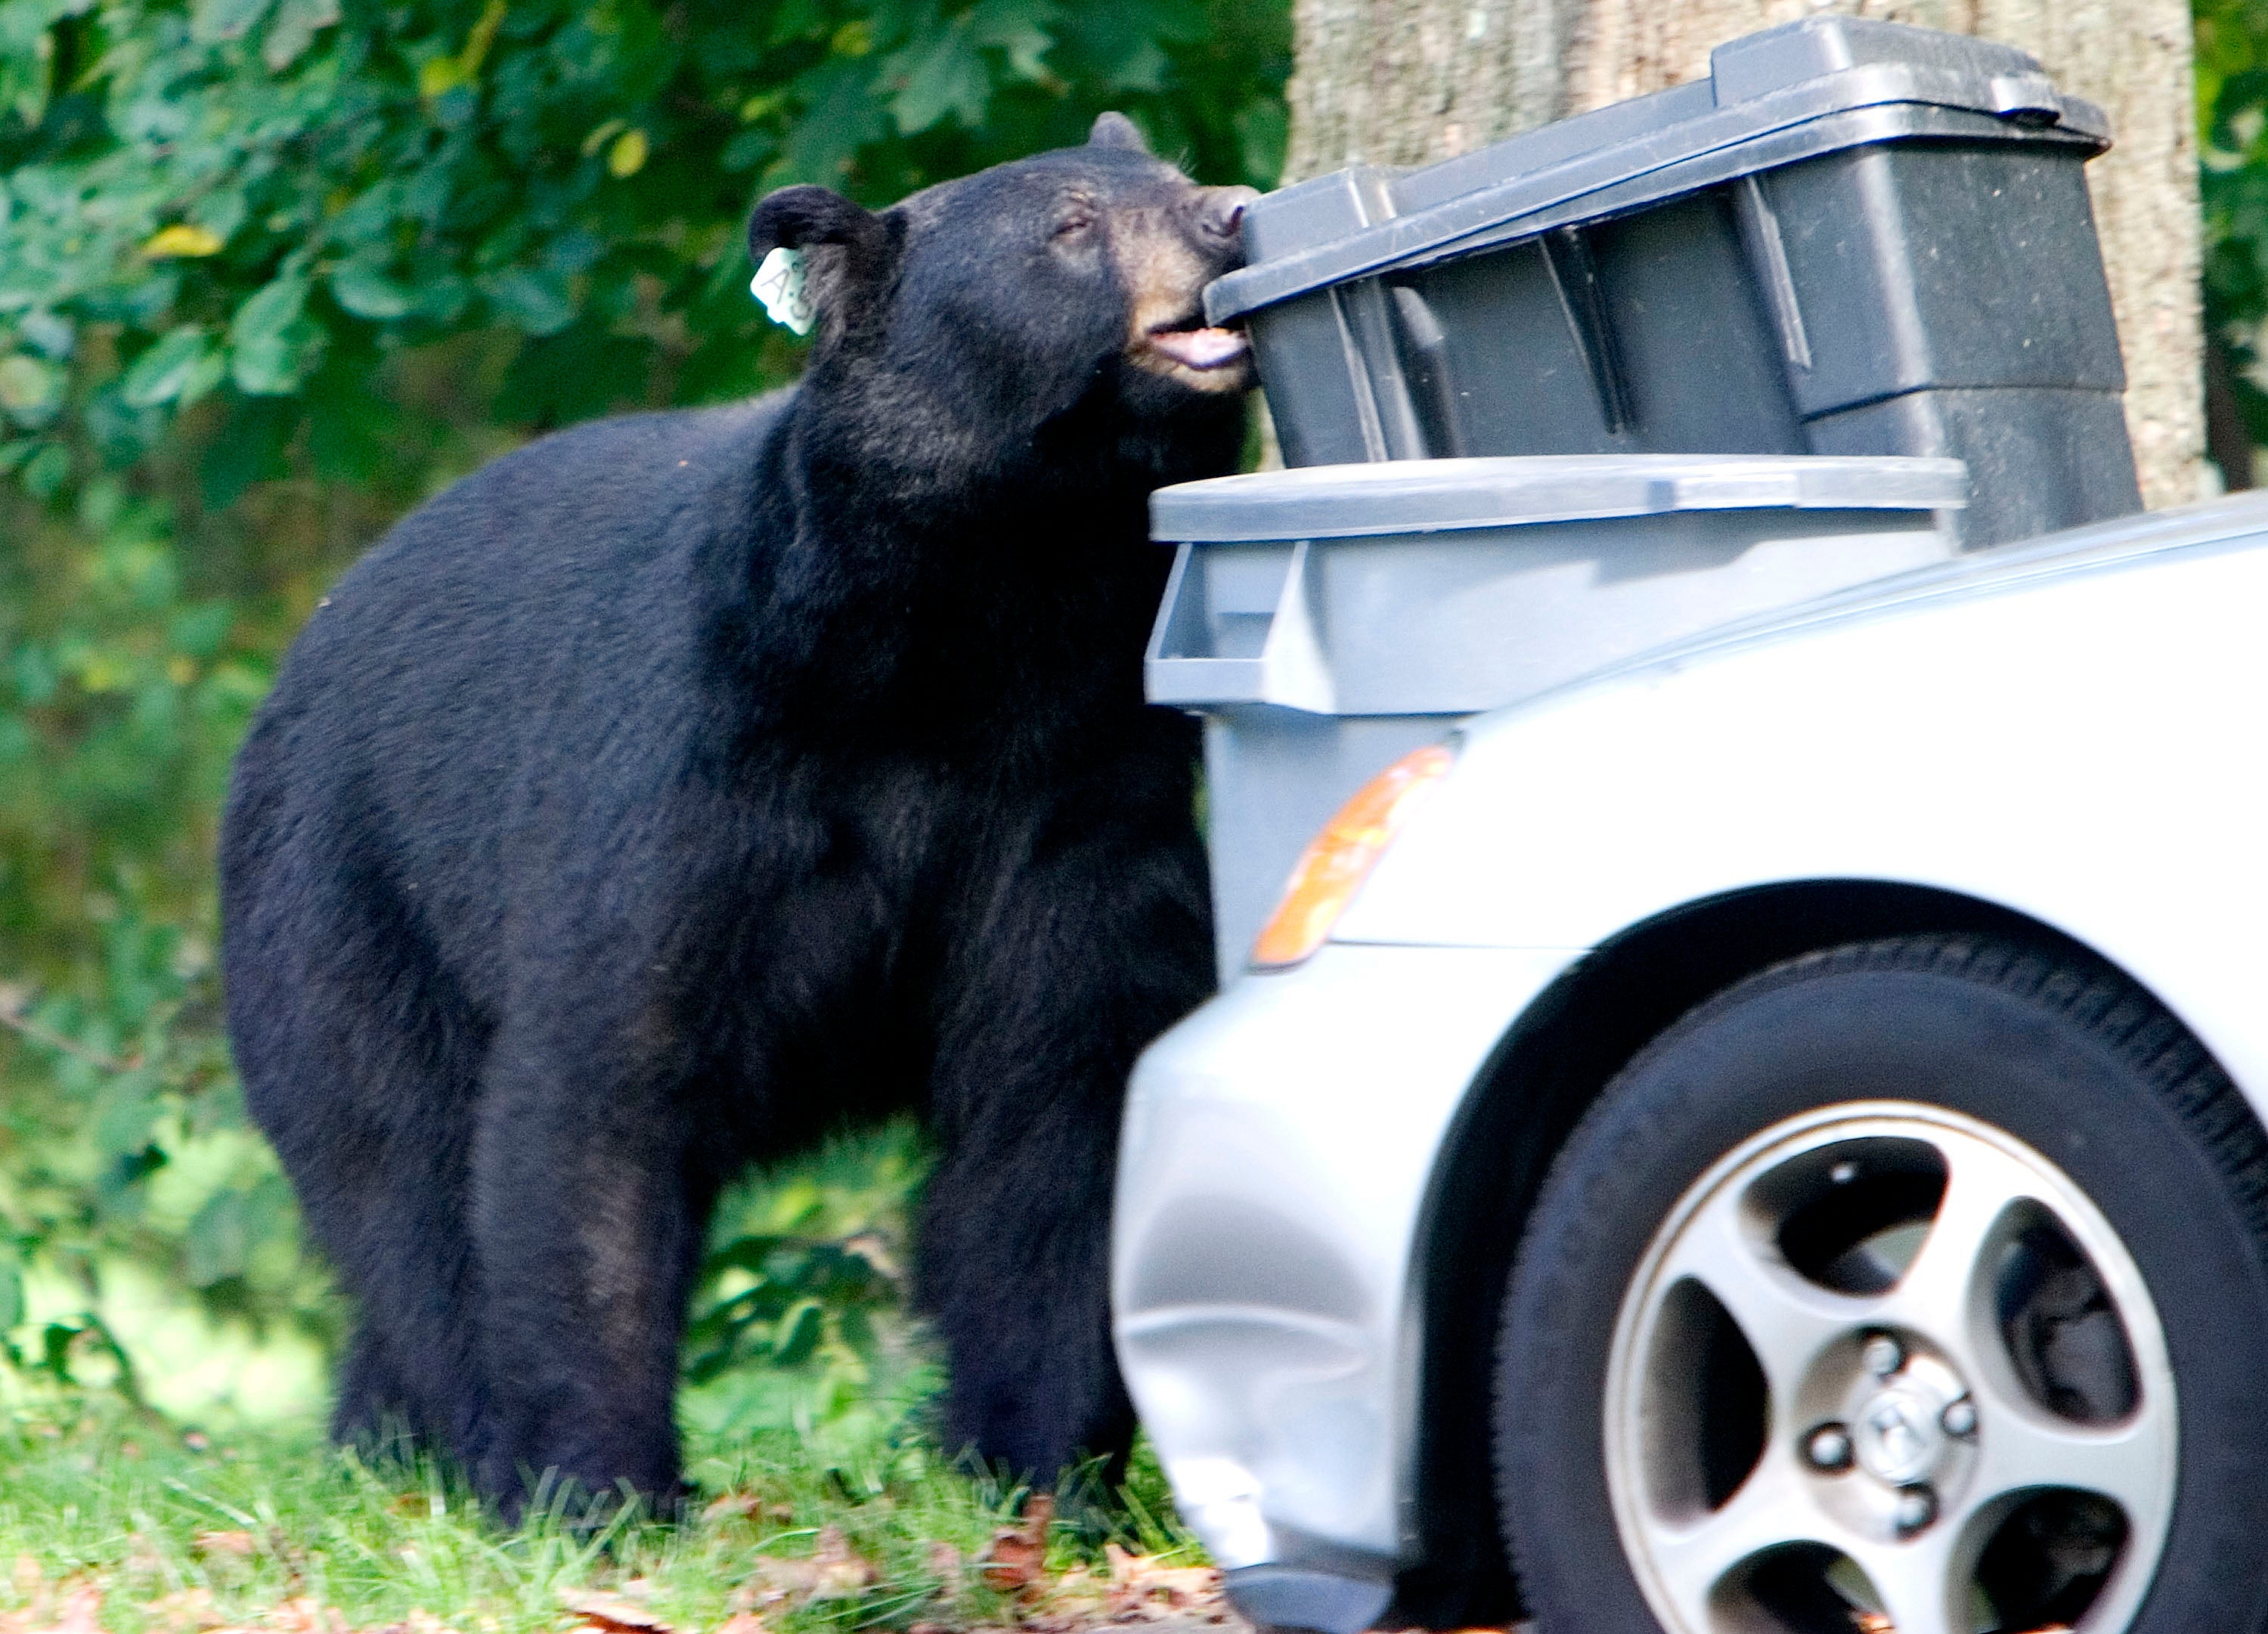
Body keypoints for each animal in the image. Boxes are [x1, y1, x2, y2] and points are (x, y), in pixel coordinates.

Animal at [216, 114, 1261, 1514]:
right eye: (1072, 223)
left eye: (1173, 177)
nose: (1231, 212)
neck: (970, 629)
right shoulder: (700, 765)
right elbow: (603, 1083)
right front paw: (596, 1490)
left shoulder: (1075, 788)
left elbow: (1060, 1096)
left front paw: (1034, 1471)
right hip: (347, 911)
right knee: (405, 1182)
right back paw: (449, 1440)